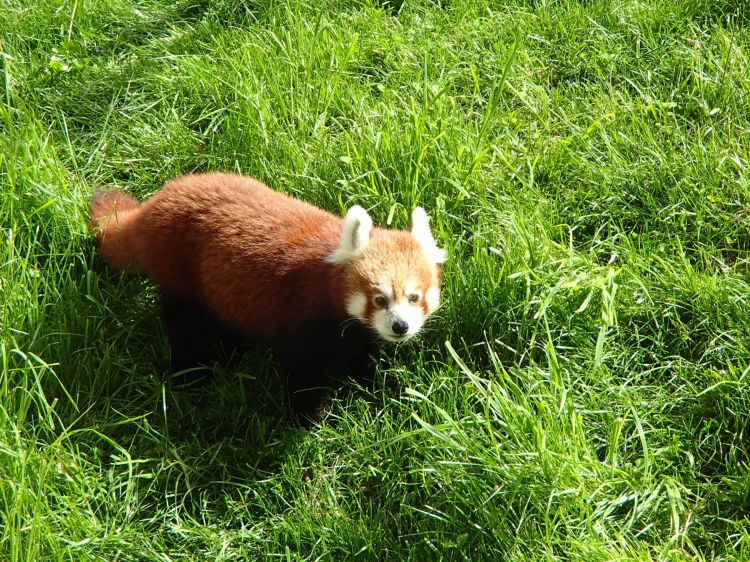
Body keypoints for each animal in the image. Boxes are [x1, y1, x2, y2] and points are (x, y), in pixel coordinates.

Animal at [92, 171, 446, 420]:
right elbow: (302, 375)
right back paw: (192, 374)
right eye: (379, 299)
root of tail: (161, 198)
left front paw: (375, 383)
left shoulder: (357, 334)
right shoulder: (304, 322)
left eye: (414, 297)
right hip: (181, 275)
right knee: (186, 329)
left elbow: (363, 357)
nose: (400, 326)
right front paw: (312, 419)